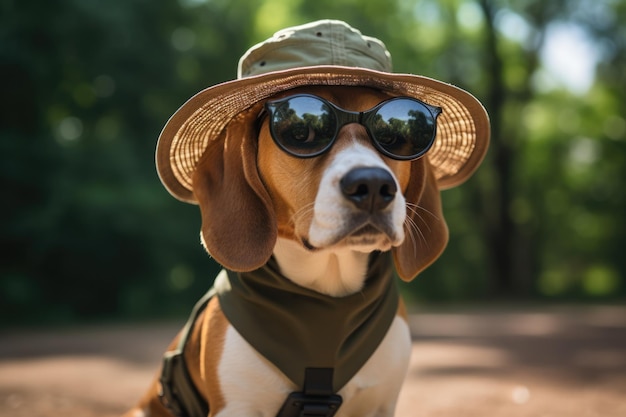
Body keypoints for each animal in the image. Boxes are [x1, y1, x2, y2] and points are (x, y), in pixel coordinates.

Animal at [125, 85, 448, 416]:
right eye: (302, 134)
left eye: (393, 138)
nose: (372, 184)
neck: (327, 298)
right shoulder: (237, 406)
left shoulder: (379, 405)